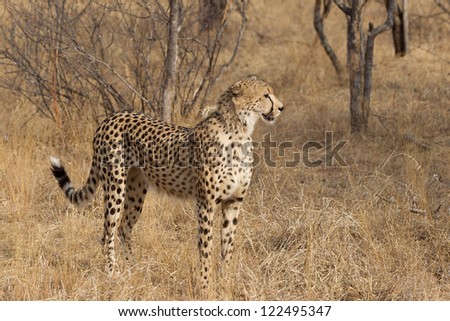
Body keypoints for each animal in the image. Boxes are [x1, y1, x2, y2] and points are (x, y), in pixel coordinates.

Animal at [49, 75, 282, 292]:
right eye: (266, 95)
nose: (281, 107)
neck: (239, 132)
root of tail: (111, 117)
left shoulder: (233, 203)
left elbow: (227, 247)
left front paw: (225, 283)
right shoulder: (206, 203)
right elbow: (206, 247)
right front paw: (206, 286)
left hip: (136, 191)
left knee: (124, 227)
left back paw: (134, 268)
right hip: (115, 186)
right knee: (108, 232)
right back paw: (113, 274)